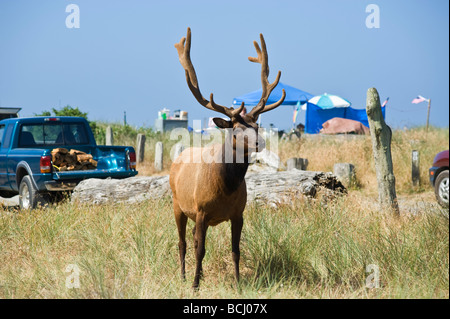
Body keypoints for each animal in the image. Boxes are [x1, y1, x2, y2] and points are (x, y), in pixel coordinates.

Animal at [171, 28, 286, 290]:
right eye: (235, 129)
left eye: (256, 125)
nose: (260, 142)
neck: (224, 188)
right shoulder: (201, 210)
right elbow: (201, 250)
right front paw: (195, 286)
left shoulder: (238, 213)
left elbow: (236, 251)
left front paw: (239, 283)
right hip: (177, 204)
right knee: (183, 243)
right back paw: (183, 276)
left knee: (192, 240)